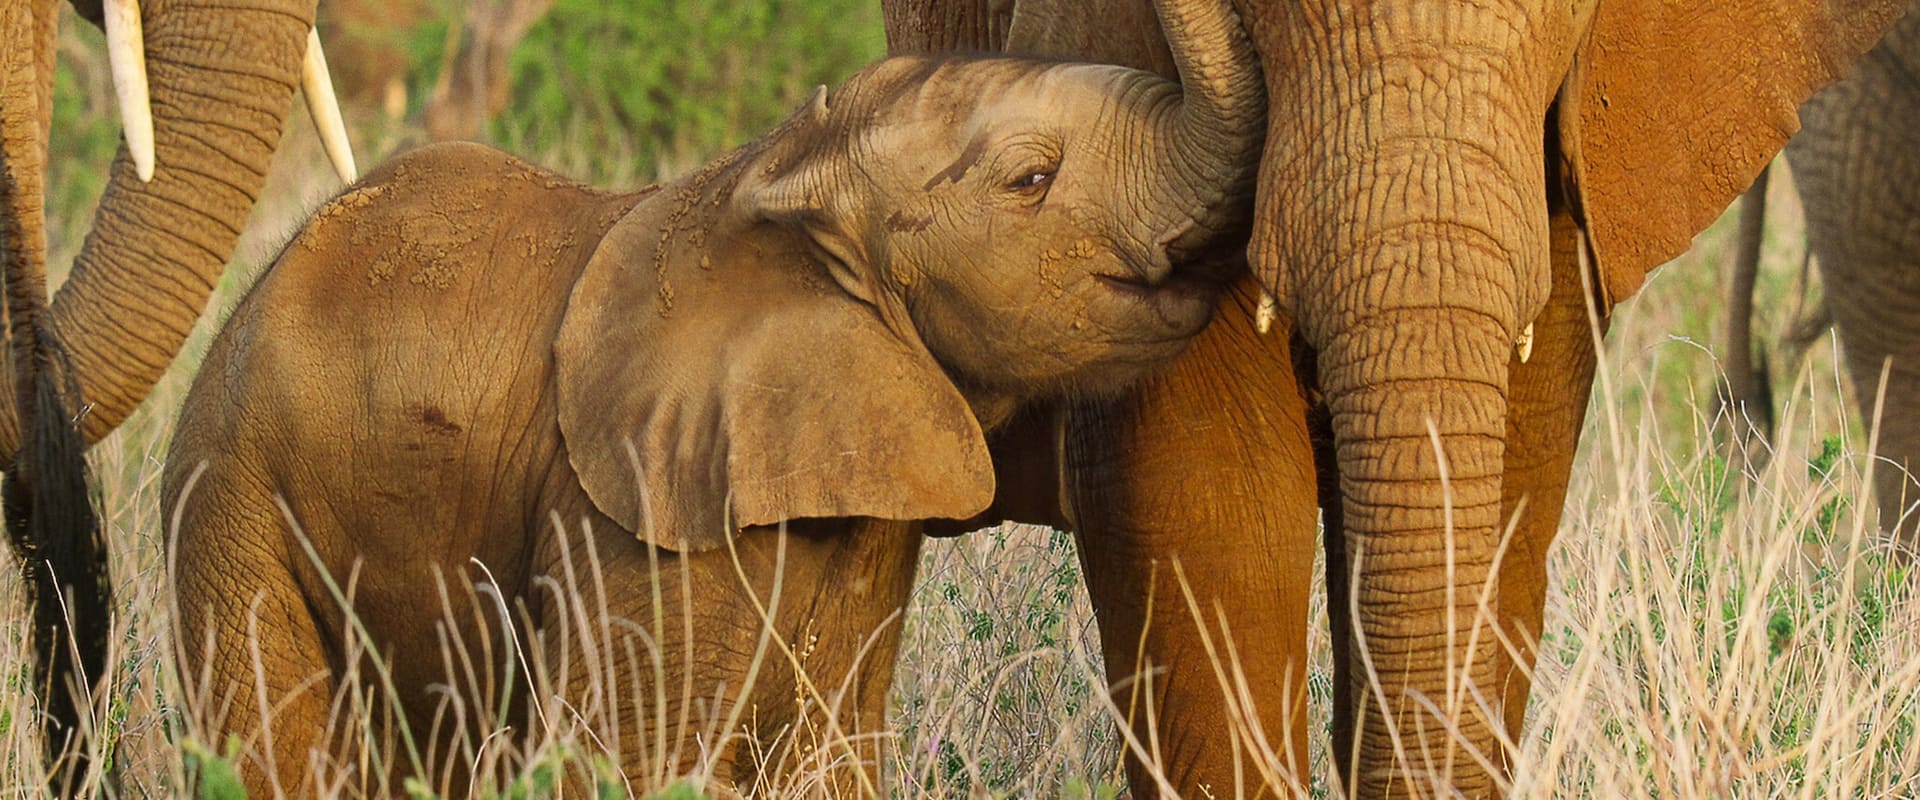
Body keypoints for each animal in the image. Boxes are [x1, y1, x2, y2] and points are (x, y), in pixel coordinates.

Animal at [165, 0, 1267, 790]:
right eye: (1031, 182)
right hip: (230, 499)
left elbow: (829, 757)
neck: (780, 173)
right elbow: (619, 760)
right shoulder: (633, 516)